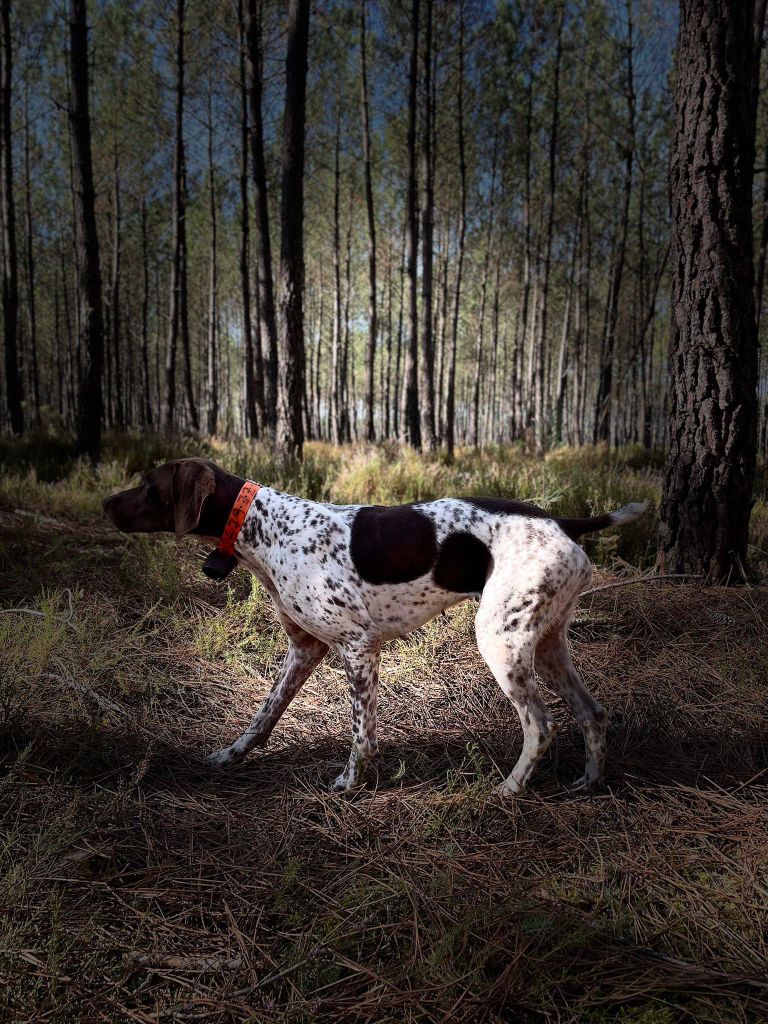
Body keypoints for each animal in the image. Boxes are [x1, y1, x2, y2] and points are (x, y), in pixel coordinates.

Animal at [100, 458, 643, 798]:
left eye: (149, 484)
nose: (105, 504)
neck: (264, 525)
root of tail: (565, 522)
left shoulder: (357, 647)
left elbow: (362, 734)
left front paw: (349, 784)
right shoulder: (305, 650)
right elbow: (262, 718)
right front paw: (229, 756)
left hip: (500, 642)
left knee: (541, 725)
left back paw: (509, 789)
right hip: (548, 646)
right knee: (593, 714)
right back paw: (589, 783)